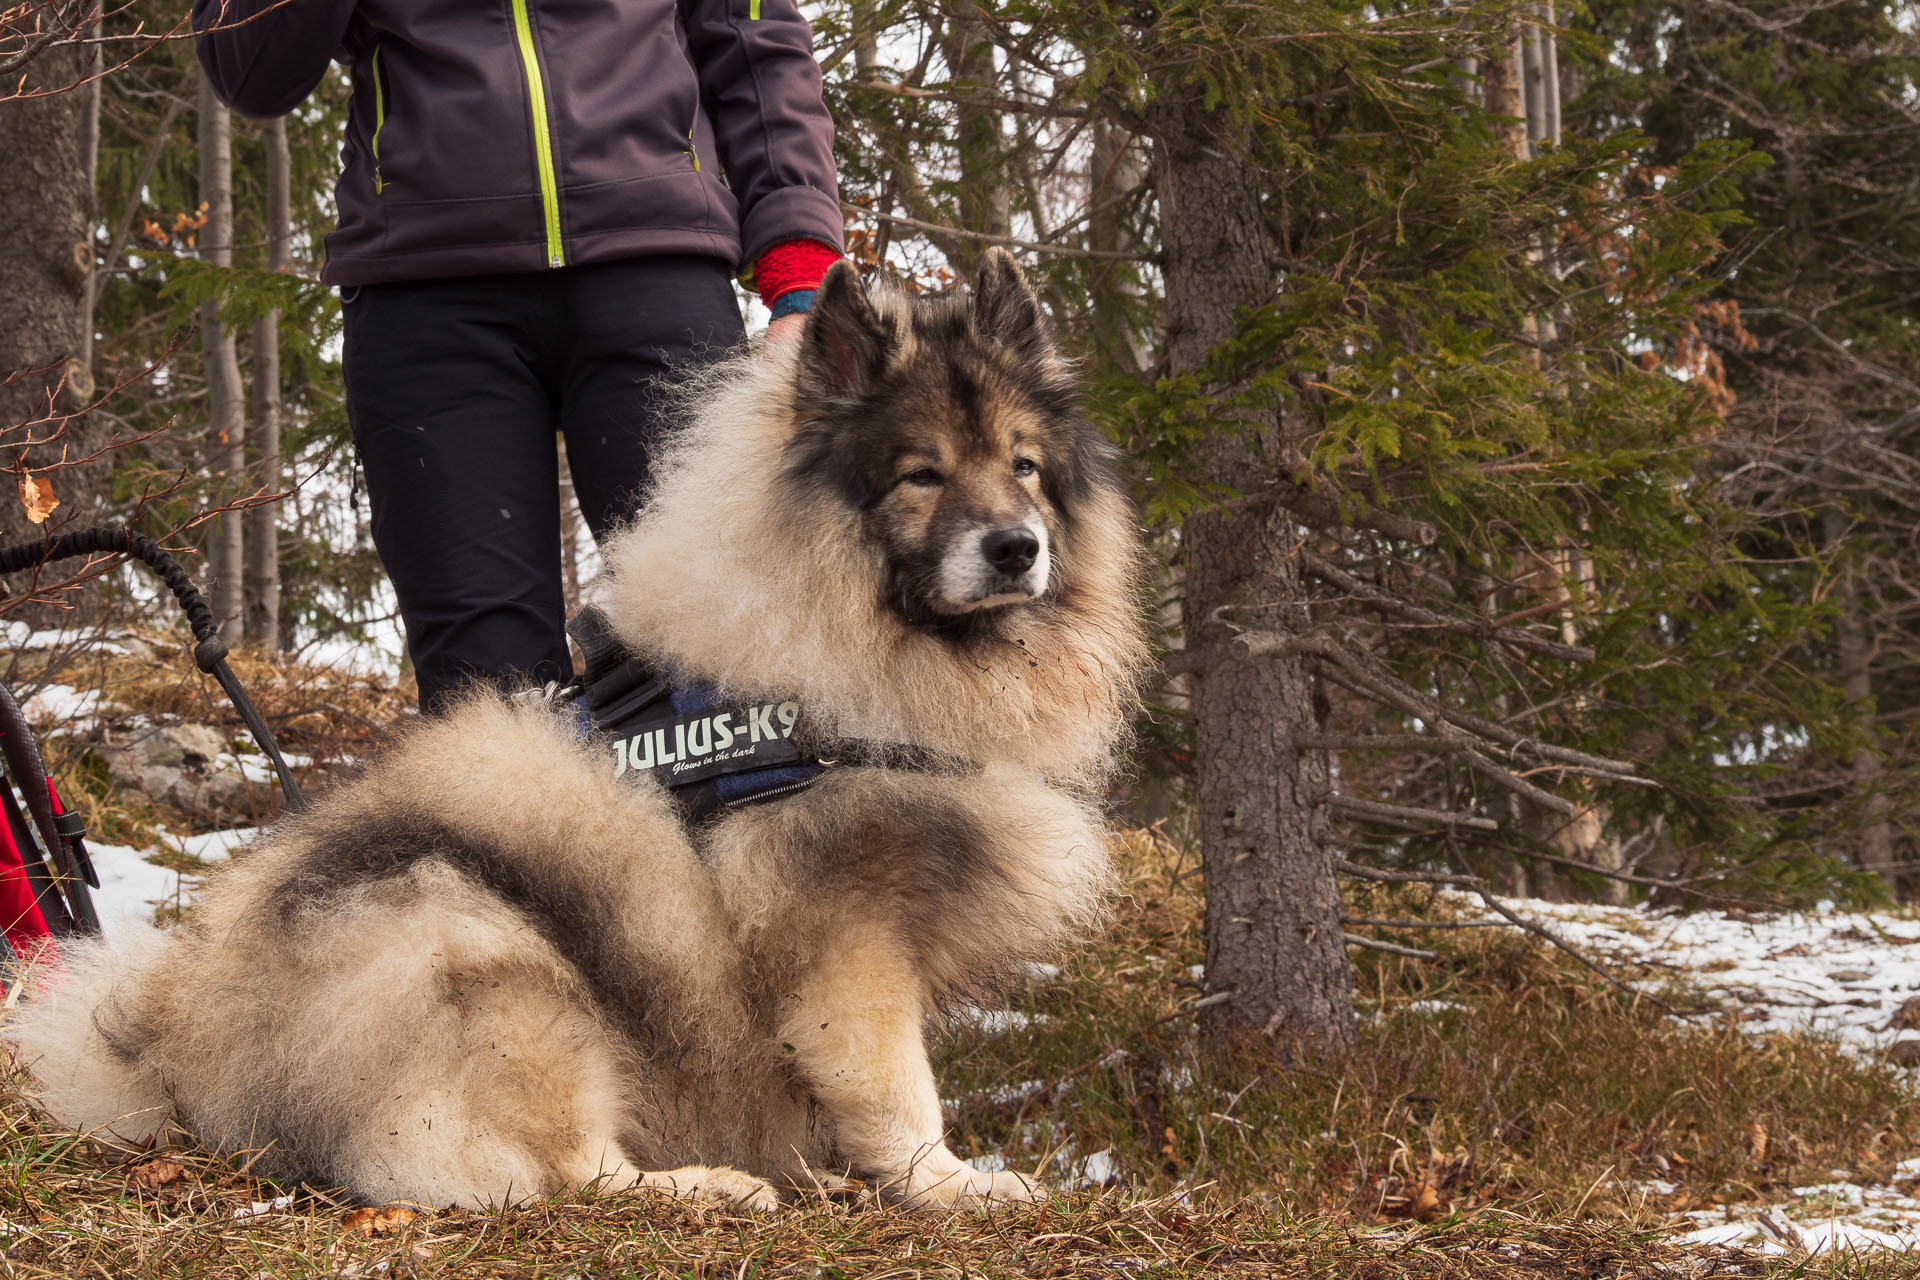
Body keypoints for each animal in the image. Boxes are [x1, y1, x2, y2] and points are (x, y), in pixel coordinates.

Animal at [7, 247, 1144, 1212]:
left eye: (1024, 466)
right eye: (922, 474)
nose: (1016, 547)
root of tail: (187, 1052)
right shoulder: (844, 931)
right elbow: (897, 1084)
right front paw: (949, 1183)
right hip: (496, 959)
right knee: (564, 1170)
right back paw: (706, 1187)